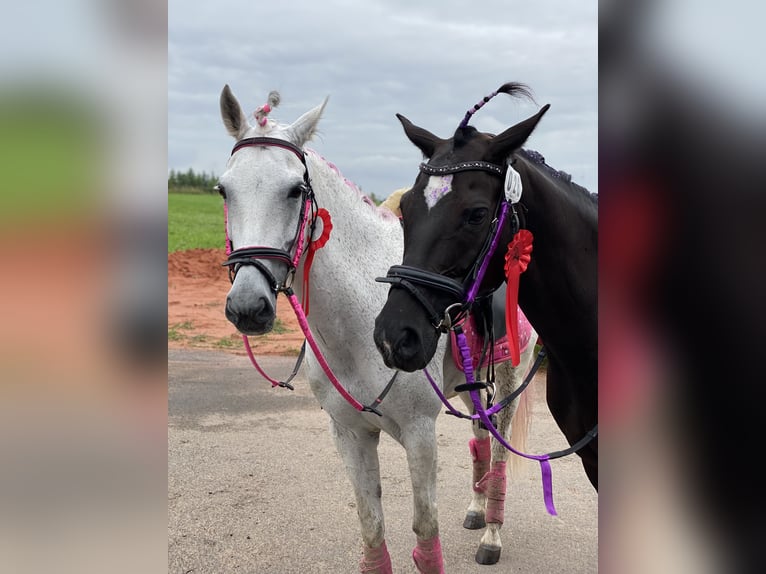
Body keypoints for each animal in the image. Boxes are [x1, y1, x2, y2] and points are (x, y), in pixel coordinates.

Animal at [219, 83, 536, 572]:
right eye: (223, 190)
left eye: (294, 190)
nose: (248, 307)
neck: (358, 326)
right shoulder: (349, 435)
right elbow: (372, 530)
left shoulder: (420, 436)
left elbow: (426, 536)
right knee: (481, 439)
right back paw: (477, 511)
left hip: (508, 379)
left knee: (499, 449)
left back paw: (493, 532)